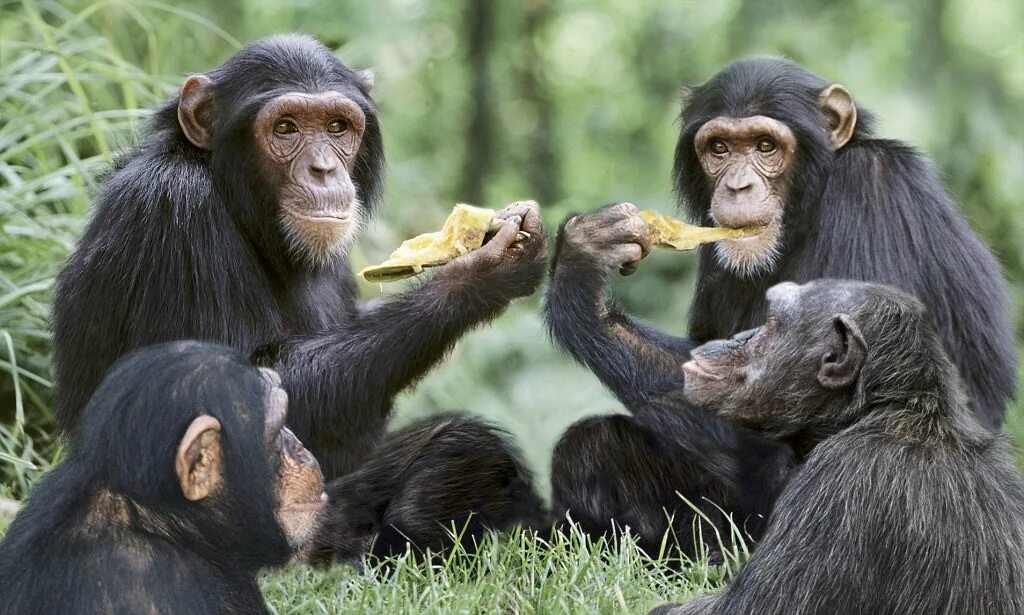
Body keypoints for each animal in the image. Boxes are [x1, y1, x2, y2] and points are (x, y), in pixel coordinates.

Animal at [51, 34, 548, 560]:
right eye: (286, 128)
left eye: (337, 127)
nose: (324, 169)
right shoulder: (174, 211)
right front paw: (479, 271)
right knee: (465, 447)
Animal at [548, 58, 1011, 556]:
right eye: (719, 148)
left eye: (766, 146)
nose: (737, 185)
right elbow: (704, 361)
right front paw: (583, 261)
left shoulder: (873, 186)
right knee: (588, 449)